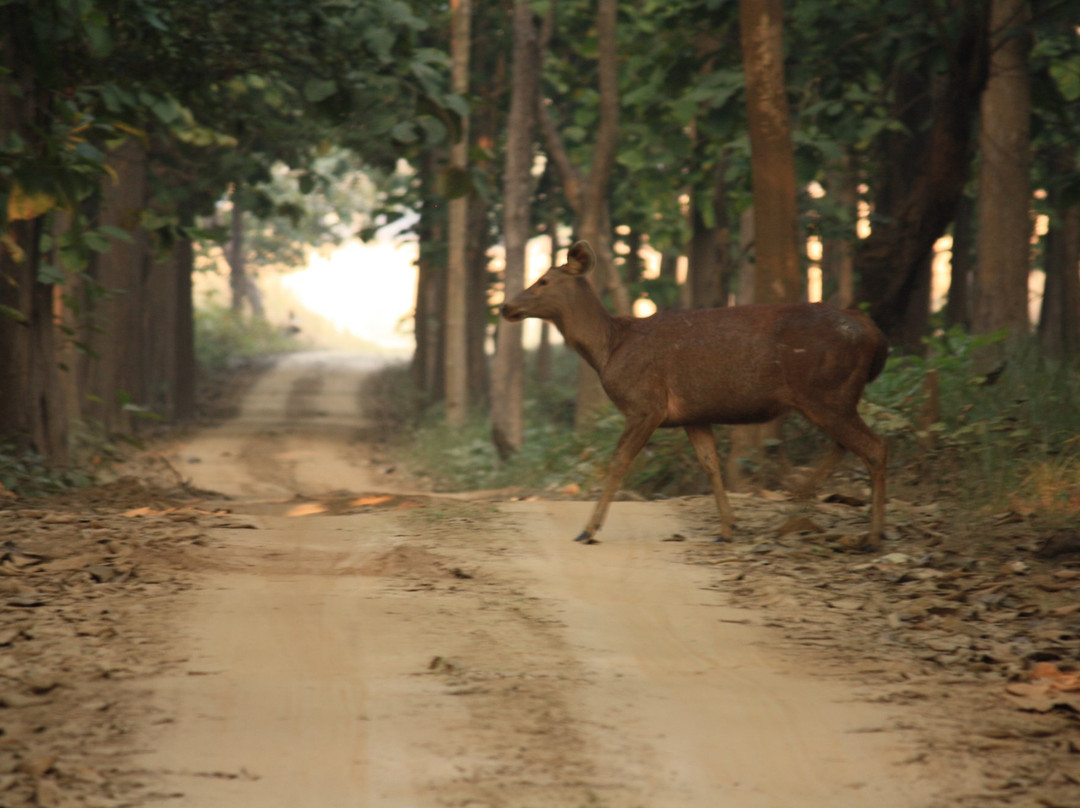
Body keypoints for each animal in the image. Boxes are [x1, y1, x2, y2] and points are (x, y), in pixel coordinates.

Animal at [501, 241, 889, 548]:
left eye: (544, 280)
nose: (505, 307)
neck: (609, 349)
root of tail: (874, 332)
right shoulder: (693, 415)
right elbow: (710, 464)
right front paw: (727, 529)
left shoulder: (646, 404)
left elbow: (618, 462)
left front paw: (588, 530)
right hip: (834, 396)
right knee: (849, 445)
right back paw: (809, 502)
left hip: (826, 392)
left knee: (873, 447)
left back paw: (870, 536)